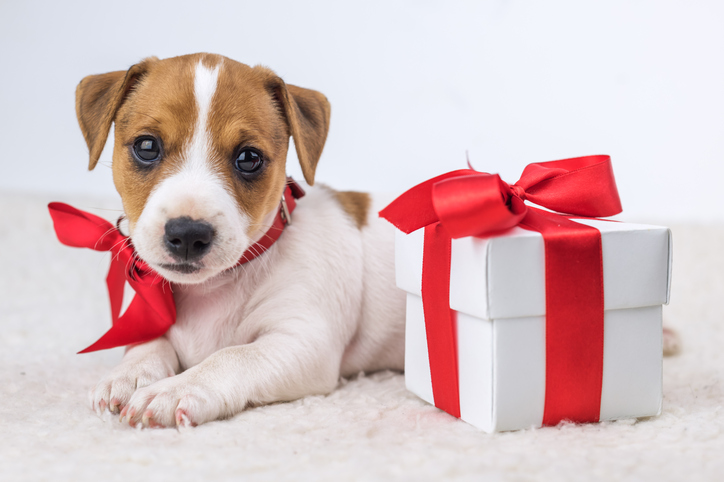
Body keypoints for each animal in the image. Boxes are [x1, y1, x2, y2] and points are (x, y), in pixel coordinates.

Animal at [80, 52, 408, 428]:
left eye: (249, 158)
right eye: (146, 146)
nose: (188, 234)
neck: (211, 290)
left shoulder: (303, 341)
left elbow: (234, 356)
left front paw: (176, 388)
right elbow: (148, 342)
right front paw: (130, 373)